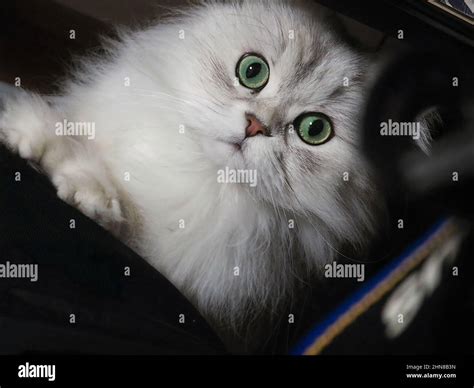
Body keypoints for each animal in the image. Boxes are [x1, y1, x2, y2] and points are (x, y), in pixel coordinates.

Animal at [0, 0, 386, 350]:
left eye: (314, 129)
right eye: (252, 71)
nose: (255, 125)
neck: (198, 178)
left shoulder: (158, 261)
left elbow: (103, 192)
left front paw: (82, 185)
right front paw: (26, 128)